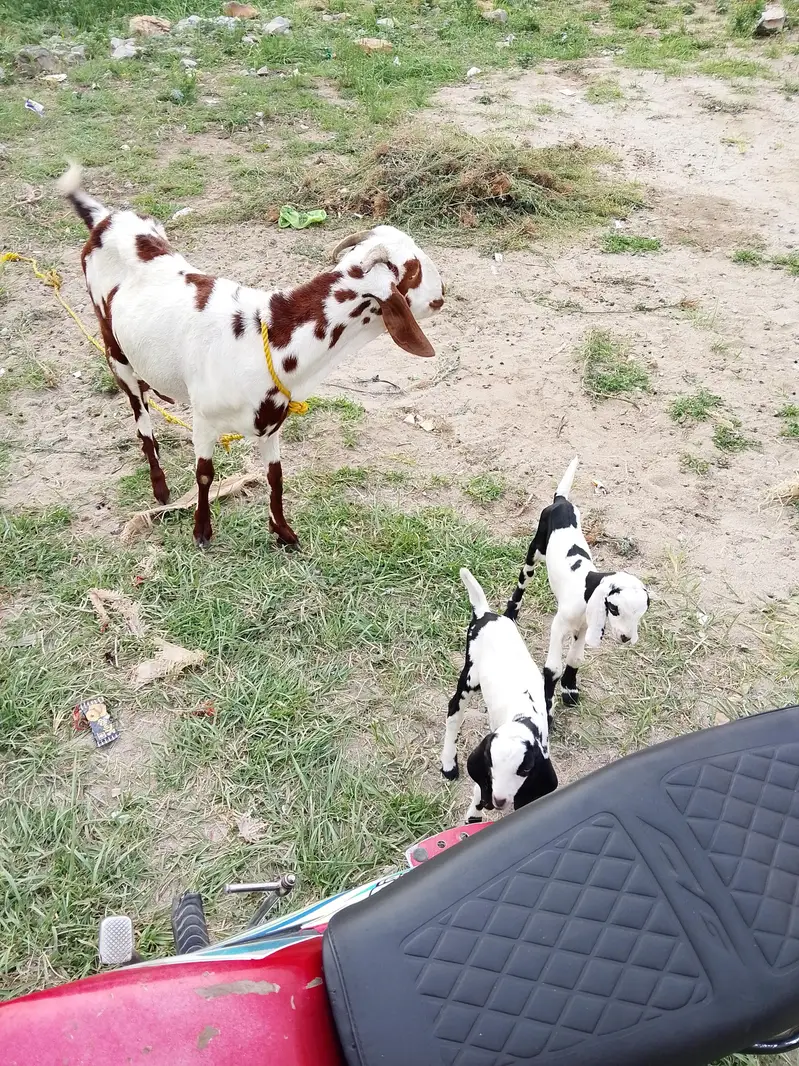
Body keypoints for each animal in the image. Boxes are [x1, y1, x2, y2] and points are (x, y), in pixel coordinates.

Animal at [58, 165, 444, 548]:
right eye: (414, 269)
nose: (442, 293)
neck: (267, 339)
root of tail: (105, 219)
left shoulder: (271, 424)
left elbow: (275, 476)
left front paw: (283, 533)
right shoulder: (204, 419)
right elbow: (204, 474)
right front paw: (202, 532)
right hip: (113, 348)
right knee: (141, 420)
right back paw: (161, 489)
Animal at [441, 568, 557, 823]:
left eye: (525, 769)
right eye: (490, 763)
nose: (499, 800)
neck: (522, 717)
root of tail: (487, 614)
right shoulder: (485, 782)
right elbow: (476, 801)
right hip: (470, 675)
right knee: (454, 711)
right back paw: (448, 763)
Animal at [506, 457, 650, 713]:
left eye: (641, 613)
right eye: (614, 608)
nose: (626, 638)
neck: (586, 589)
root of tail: (561, 501)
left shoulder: (583, 628)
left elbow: (575, 659)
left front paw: (570, 689)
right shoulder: (559, 626)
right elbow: (552, 668)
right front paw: (548, 705)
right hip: (536, 549)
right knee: (524, 576)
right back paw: (511, 611)